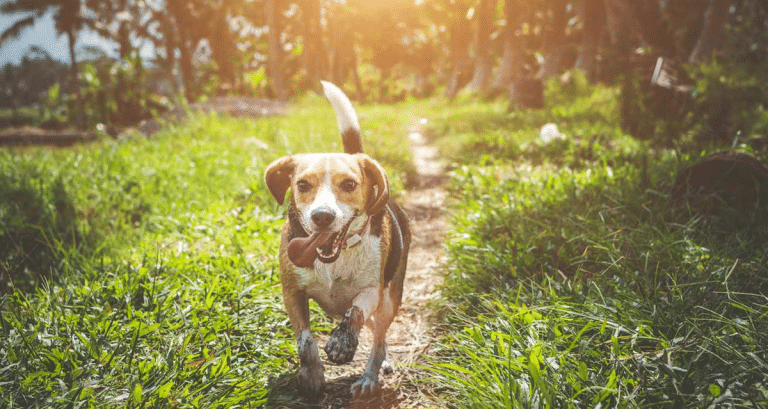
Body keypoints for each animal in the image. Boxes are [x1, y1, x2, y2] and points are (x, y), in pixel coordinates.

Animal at [264, 81, 408, 396]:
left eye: (350, 184)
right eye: (302, 184)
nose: (322, 216)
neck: (335, 259)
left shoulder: (372, 290)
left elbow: (355, 312)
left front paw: (342, 343)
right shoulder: (292, 292)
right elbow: (305, 341)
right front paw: (312, 375)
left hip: (390, 300)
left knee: (378, 339)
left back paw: (369, 377)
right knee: (376, 335)